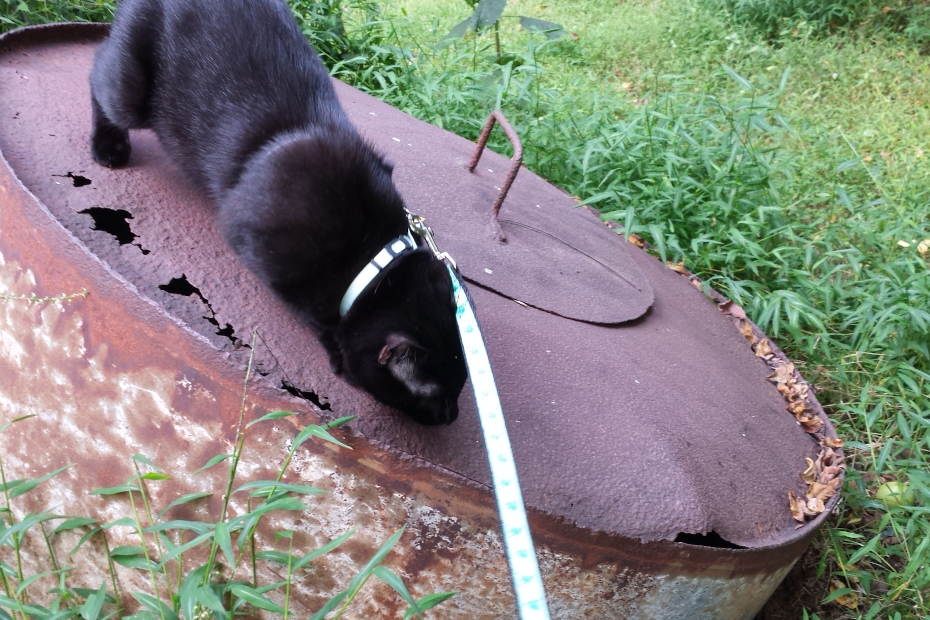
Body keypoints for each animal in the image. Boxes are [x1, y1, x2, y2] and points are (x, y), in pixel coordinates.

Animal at [89, 0, 464, 424]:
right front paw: (335, 349)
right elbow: (313, 312)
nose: (453, 416)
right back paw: (108, 146)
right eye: (436, 396)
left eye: (461, 384)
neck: (372, 258)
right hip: (129, 87)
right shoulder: (258, 240)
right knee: (99, 70)